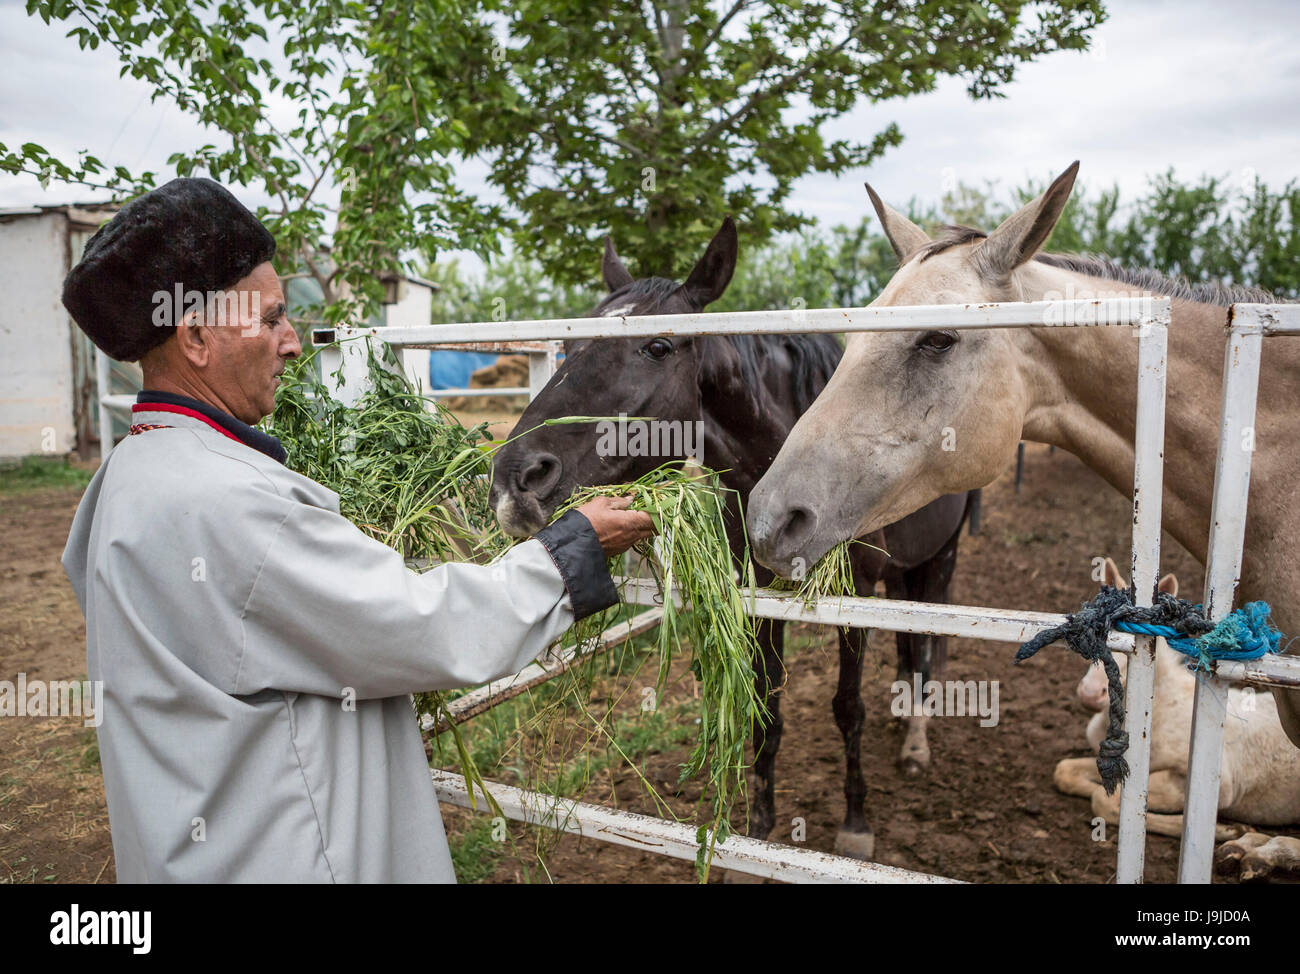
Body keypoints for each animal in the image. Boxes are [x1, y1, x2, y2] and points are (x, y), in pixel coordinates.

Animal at [489, 216, 976, 860]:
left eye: (658, 346)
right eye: (569, 344)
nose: (515, 479)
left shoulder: (851, 599)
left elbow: (848, 707)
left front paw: (855, 823)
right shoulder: (759, 597)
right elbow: (767, 705)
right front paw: (761, 822)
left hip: (939, 562)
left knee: (927, 648)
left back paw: (917, 740)